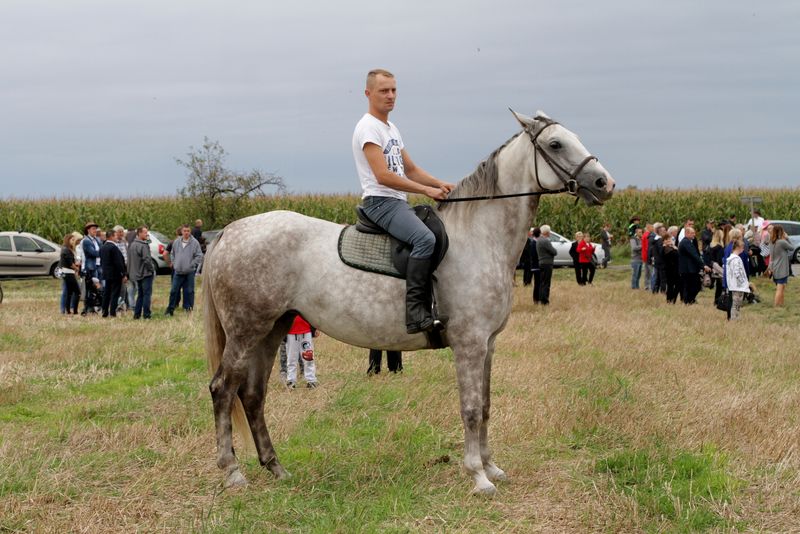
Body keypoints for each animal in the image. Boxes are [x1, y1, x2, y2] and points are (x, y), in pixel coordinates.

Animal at [205, 110, 612, 498]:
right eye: (556, 144)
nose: (604, 183)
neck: (479, 237)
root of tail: (230, 231)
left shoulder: (488, 344)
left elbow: (485, 406)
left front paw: (491, 467)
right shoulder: (469, 343)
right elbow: (470, 409)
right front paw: (478, 477)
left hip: (271, 329)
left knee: (253, 395)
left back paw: (276, 468)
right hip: (246, 331)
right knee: (223, 389)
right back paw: (233, 472)